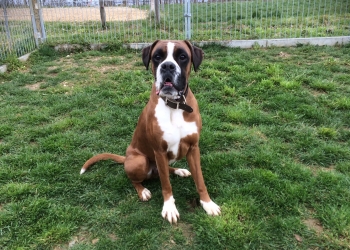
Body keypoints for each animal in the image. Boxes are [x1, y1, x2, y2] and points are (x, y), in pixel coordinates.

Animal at [80, 40, 220, 224]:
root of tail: (126, 158)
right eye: (157, 57)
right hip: (140, 161)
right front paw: (169, 208)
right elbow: (166, 185)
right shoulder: (159, 151)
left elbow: (200, 180)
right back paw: (143, 191)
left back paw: (180, 171)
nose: (167, 66)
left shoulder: (193, 148)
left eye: (182, 56)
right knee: (136, 179)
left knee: (164, 170)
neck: (174, 105)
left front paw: (207, 203)